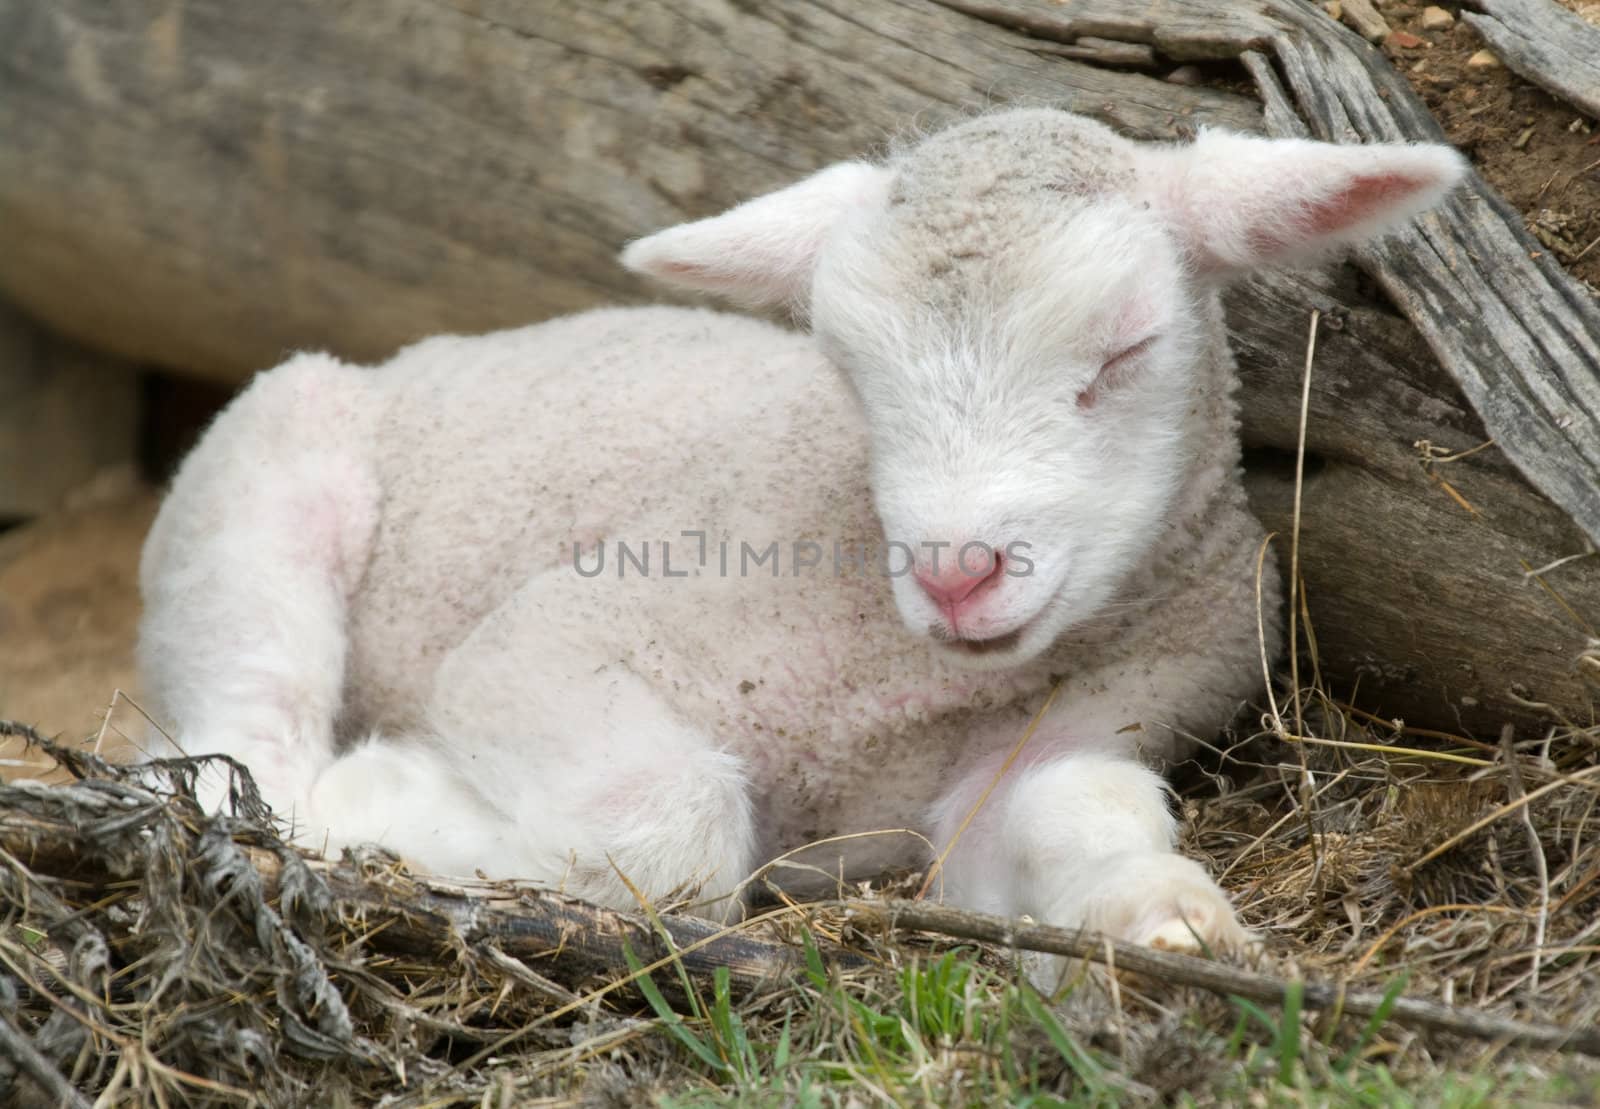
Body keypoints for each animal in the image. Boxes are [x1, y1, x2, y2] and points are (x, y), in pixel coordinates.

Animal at [137, 110, 1465, 960]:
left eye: (1128, 348)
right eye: (849, 369)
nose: (956, 571)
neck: (892, 671)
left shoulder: (1119, 702)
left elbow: (1064, 812)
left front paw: (1164, 922)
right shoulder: (547, 641)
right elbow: (673, 825)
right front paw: (392, 801)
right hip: (253, 494)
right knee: (220, 757)